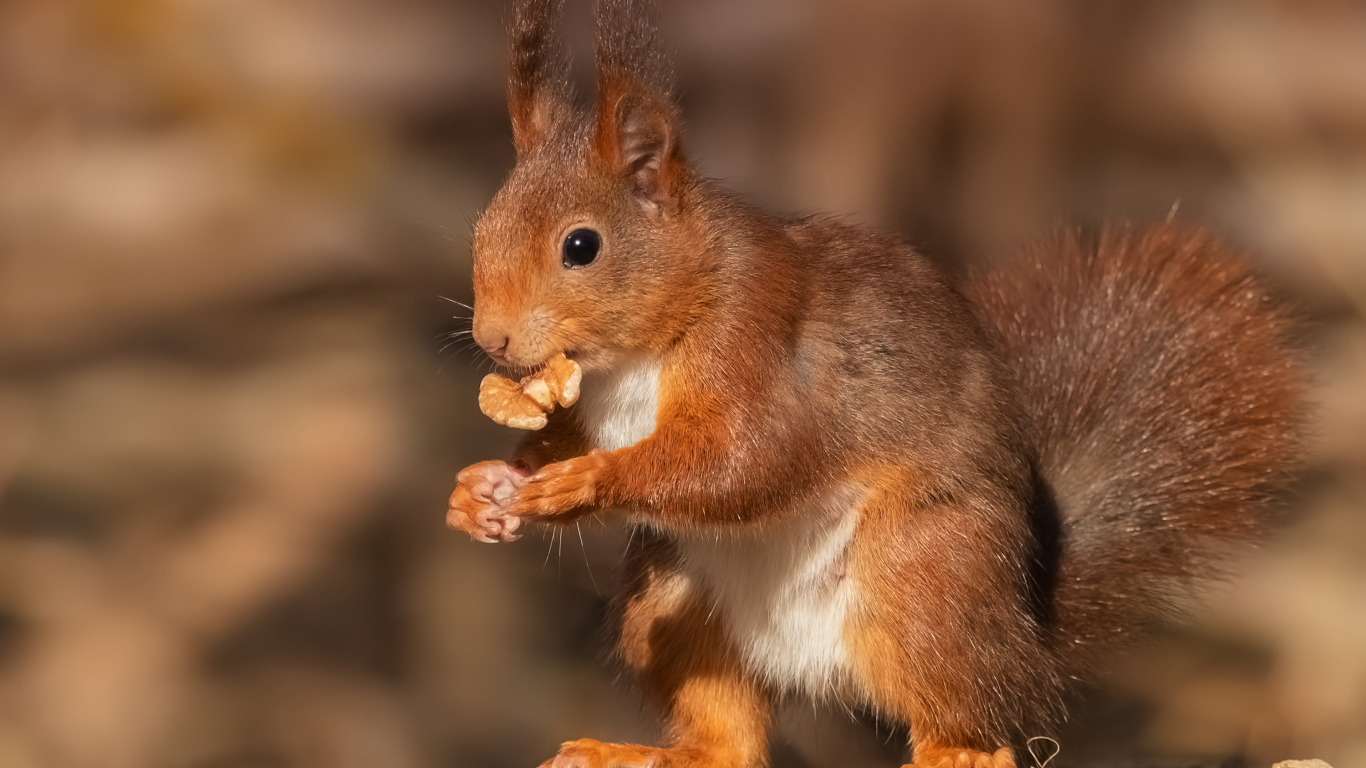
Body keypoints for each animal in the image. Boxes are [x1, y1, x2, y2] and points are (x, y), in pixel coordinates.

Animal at [442, 1, 1305, 765]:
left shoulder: (755, 345)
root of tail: (1027, 637)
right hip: (674, 603)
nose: (492, 340)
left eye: (581, 246)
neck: (639, 352)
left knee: (969, 713)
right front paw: (485, 489)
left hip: (922, 580)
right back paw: (641, 753)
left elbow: (747, 459)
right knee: (733, 742)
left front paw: (585, 482)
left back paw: (956, 754)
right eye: (482, 225)